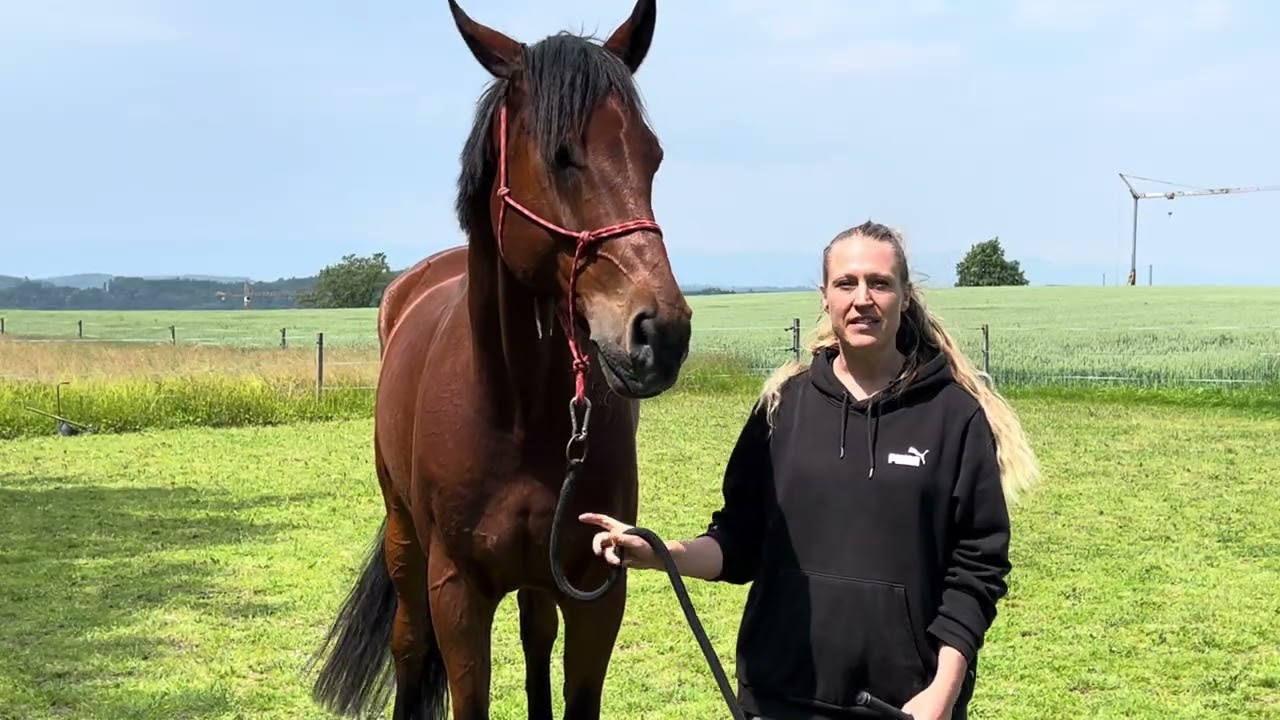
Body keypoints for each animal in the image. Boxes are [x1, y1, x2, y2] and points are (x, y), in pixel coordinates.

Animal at [308, 2, 693, 719]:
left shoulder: (596, 588)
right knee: (408, 644)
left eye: (652, 156)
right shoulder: (457, 592)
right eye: (561, 155)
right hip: (404, 537)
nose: (661, 333)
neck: (520, 412)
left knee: (535, 636)